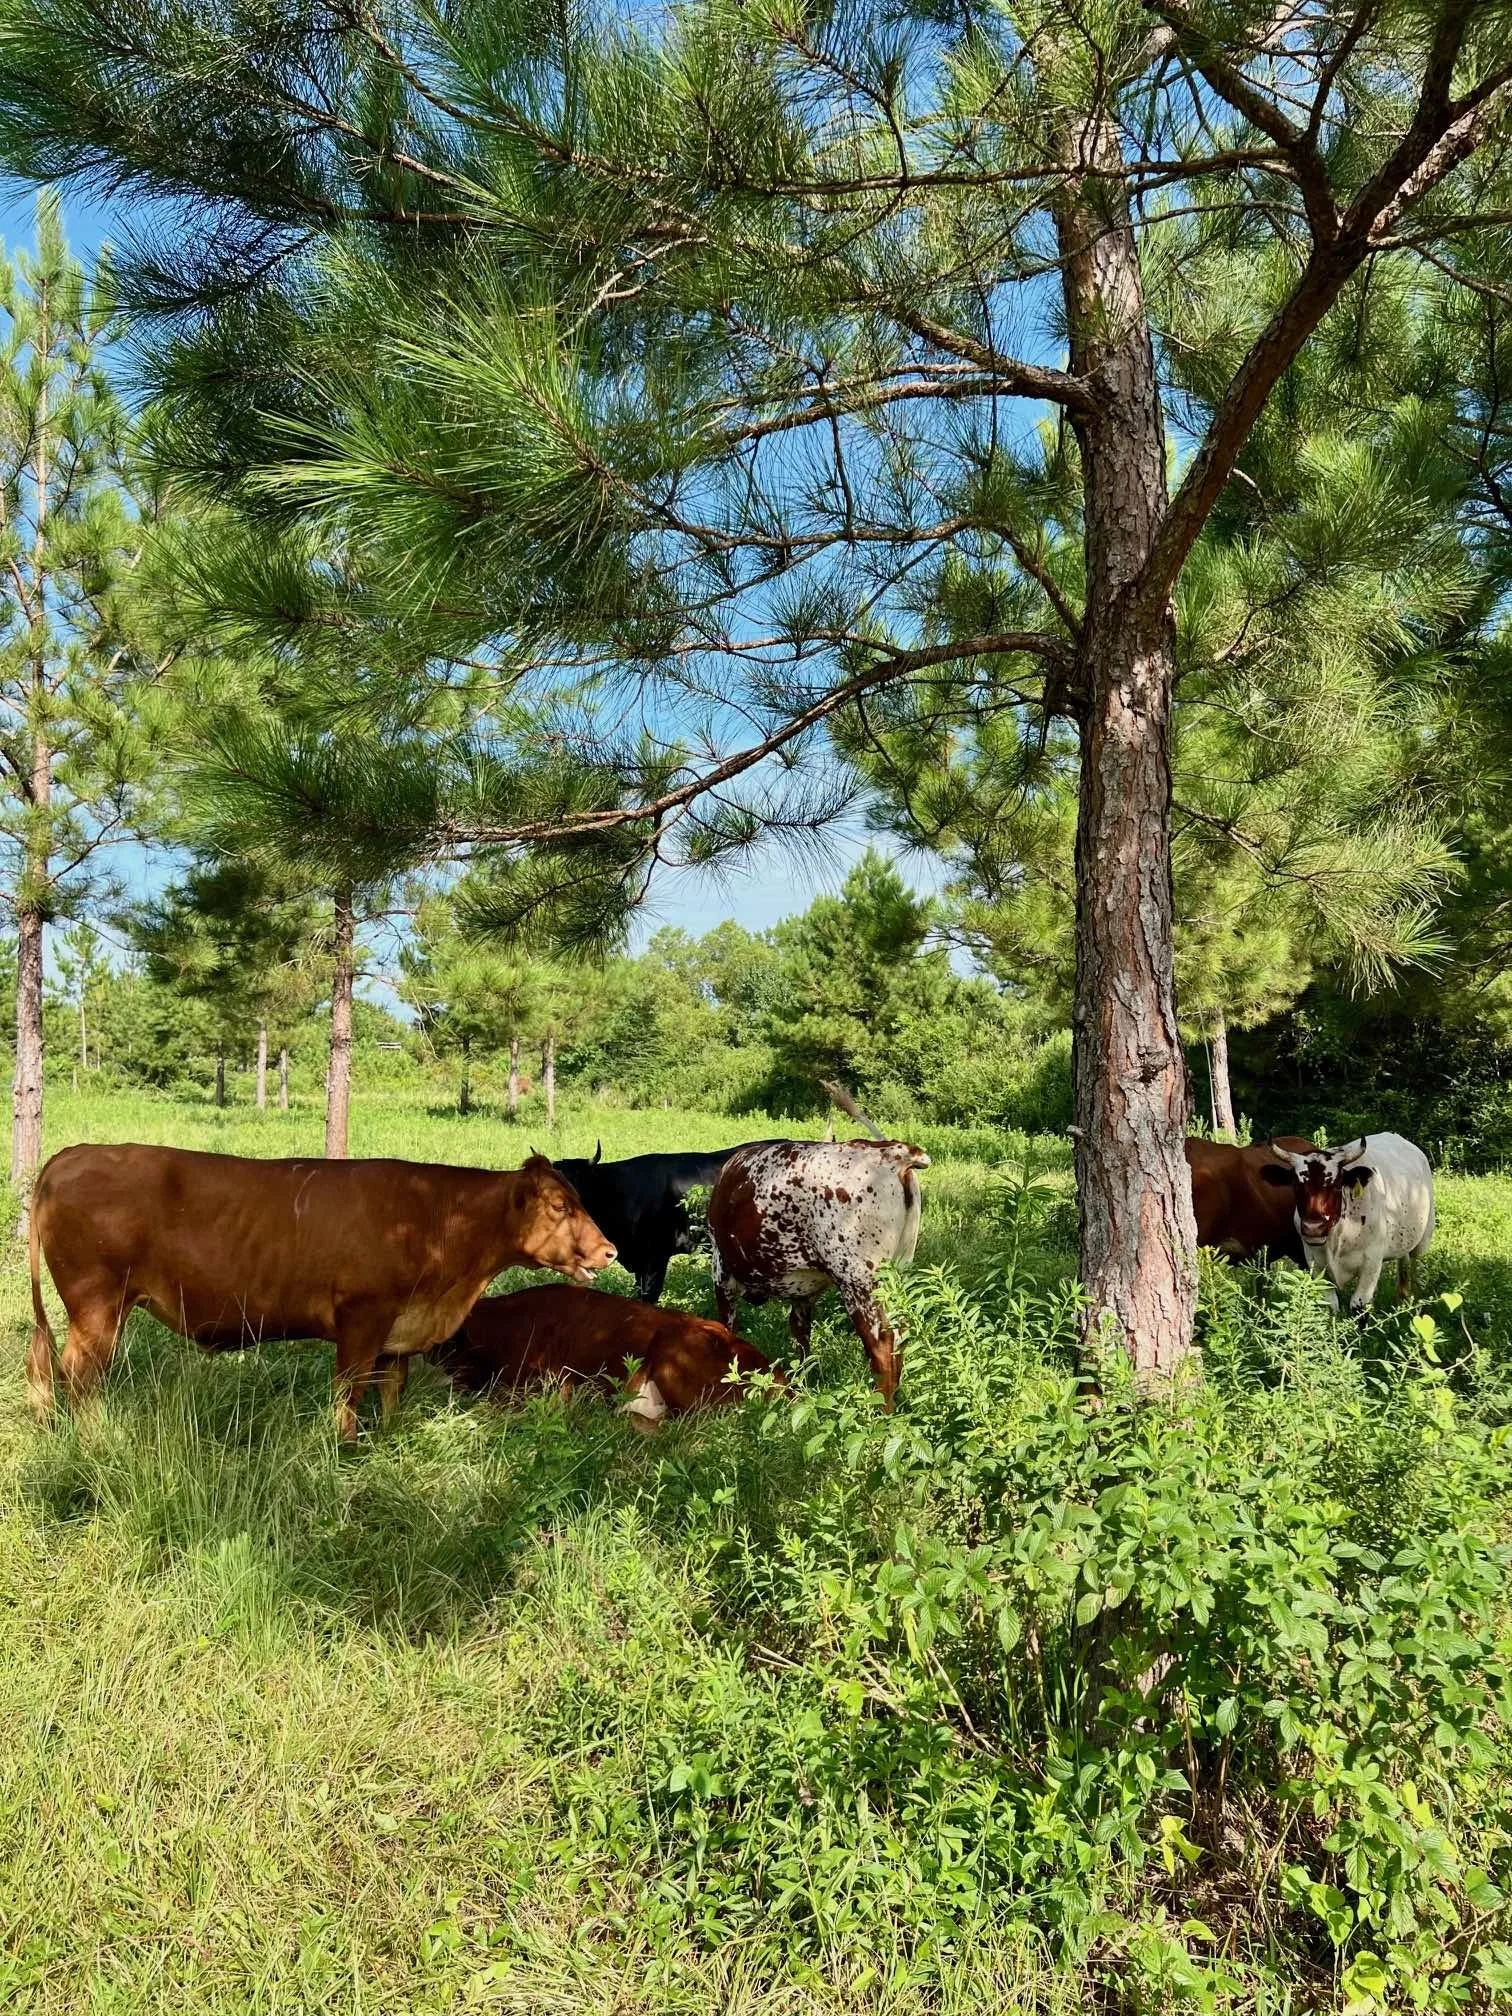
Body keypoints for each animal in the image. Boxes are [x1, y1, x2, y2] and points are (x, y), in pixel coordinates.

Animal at [26, 1144, 616, 1438]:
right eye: (560, 1206)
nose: (610, 1250)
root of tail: (69, 1155)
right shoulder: (363, 1317)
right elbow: (349, 1390)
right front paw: (345, 1446)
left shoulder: (397, 1329)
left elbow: (391, 1386)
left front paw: (387, 1438)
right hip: (97, 1305)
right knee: (79, 1375)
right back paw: (96, 1439)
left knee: (47, 1369)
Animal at [708, 1138, 929, 1411]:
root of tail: (893, 1151)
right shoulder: (802, 1295)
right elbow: (801, 1338)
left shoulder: (721, 1272)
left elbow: (728, 1331)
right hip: (897, 1274)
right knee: (902, 1337)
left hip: (858, 1283)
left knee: (883, 1349)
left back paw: (883, 1412)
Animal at [1261, 1133, 1435, 1314]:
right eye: (1296, 1186)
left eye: (1337, 1186)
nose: (1313, 1228)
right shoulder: (1315, 1263)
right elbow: (1330, 1304)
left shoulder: (1371, 1263)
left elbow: (1359, 1305)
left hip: (1422, 1240)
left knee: (1413, 1265)